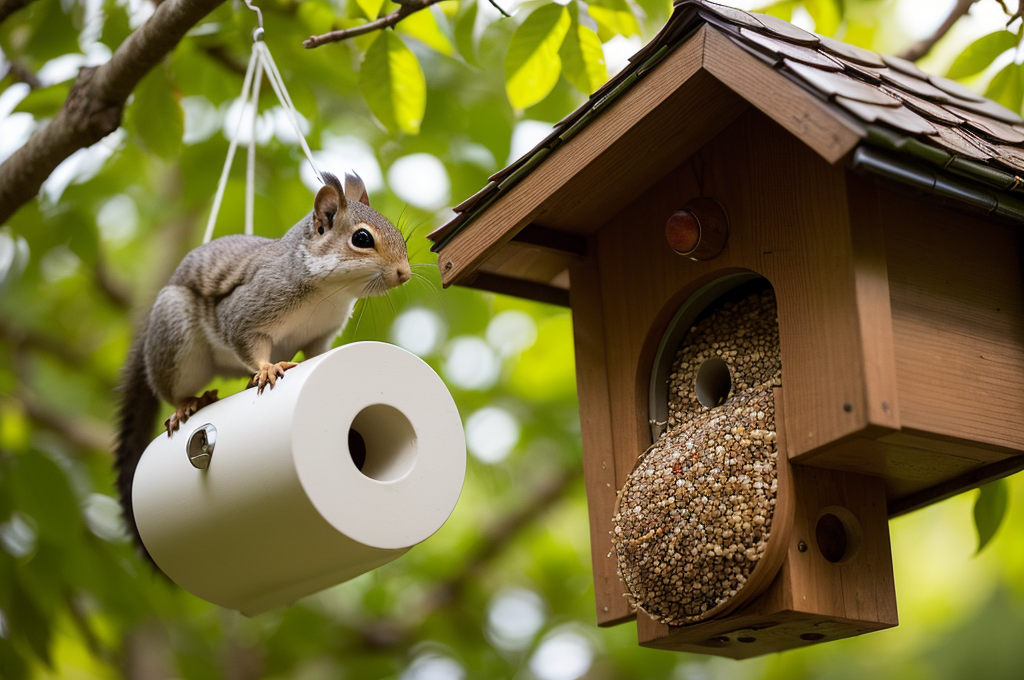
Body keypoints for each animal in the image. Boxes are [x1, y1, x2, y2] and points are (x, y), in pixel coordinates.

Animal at [114, 171, 409, 561]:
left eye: (400, 235)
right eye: (362, 239)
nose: (405, 273)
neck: (330, 293)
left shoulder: (322, 333)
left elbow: (317, 352)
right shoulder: (247, 312)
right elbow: (250, 343)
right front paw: (268, 369)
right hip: (174, 336)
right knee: (172, 388)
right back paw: (190, 403)